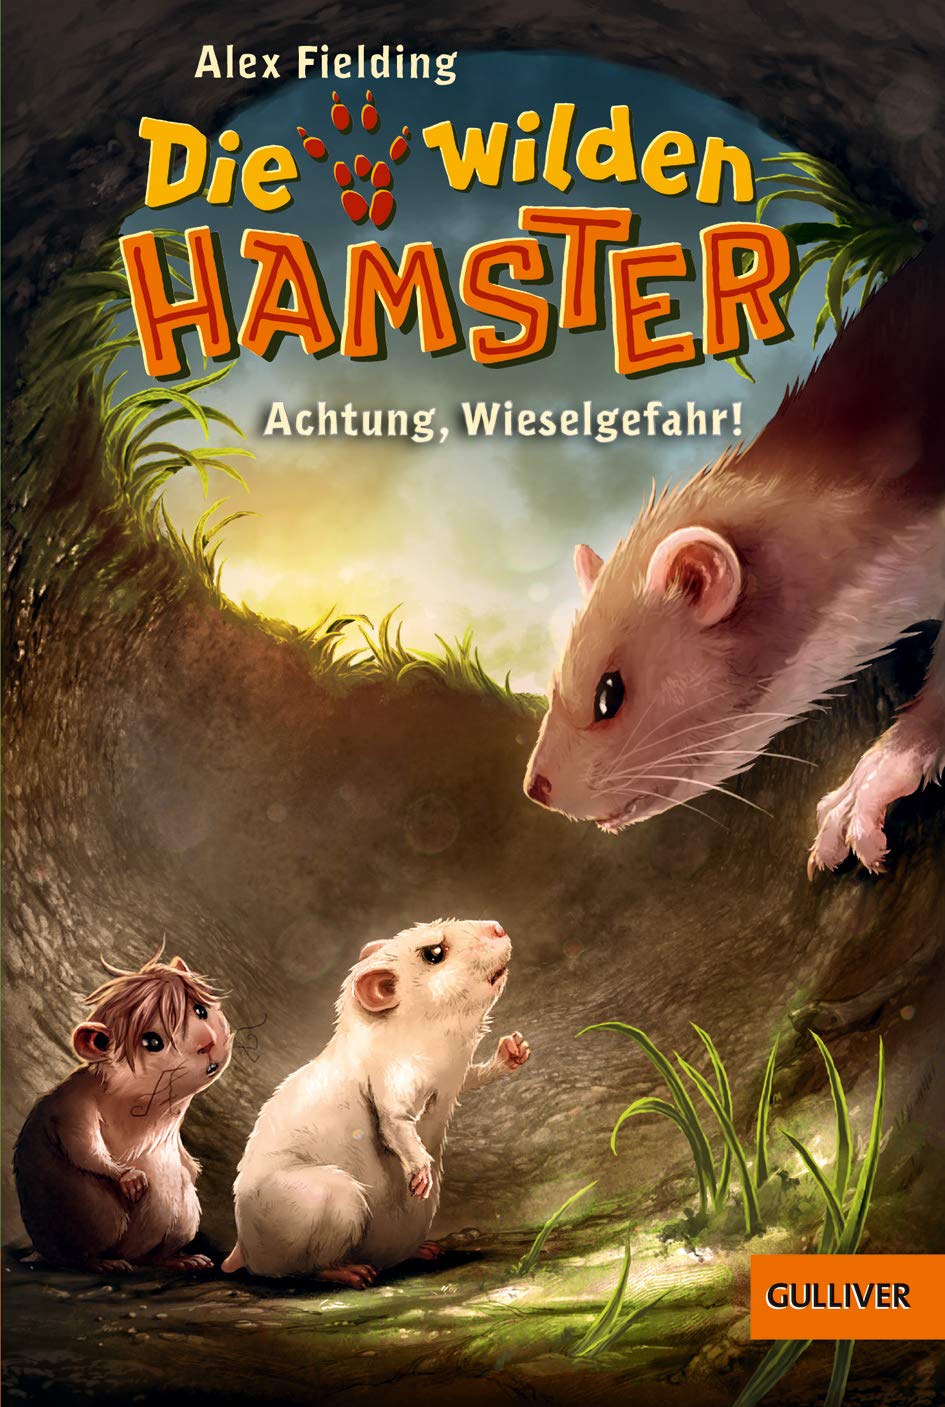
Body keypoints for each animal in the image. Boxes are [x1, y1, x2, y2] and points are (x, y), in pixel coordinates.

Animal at [14, 949, 232, 1273]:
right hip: (96, 1212)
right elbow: (84, 1147)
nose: (207, 1042)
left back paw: (186, 1259)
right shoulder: (74, 1105)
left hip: (183, 1214)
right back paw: (107, 1264)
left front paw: (193, 1169)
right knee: (76, 1256)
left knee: (155, 1255)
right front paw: (132, 1179)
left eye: (200, 1010)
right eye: (153, 1041)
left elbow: (185, 1163)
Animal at [222, 918, 530, 1287]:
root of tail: (242, 1248)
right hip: (331, 1200)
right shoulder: (391, 1076)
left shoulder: (451, 1076)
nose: (498, 927)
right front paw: (420, 1175)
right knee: (303, 1269)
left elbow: (471, 1078)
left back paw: (425, 1250)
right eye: (434, 953)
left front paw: (514, 1051)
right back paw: (352, 1272)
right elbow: (393, 1121)